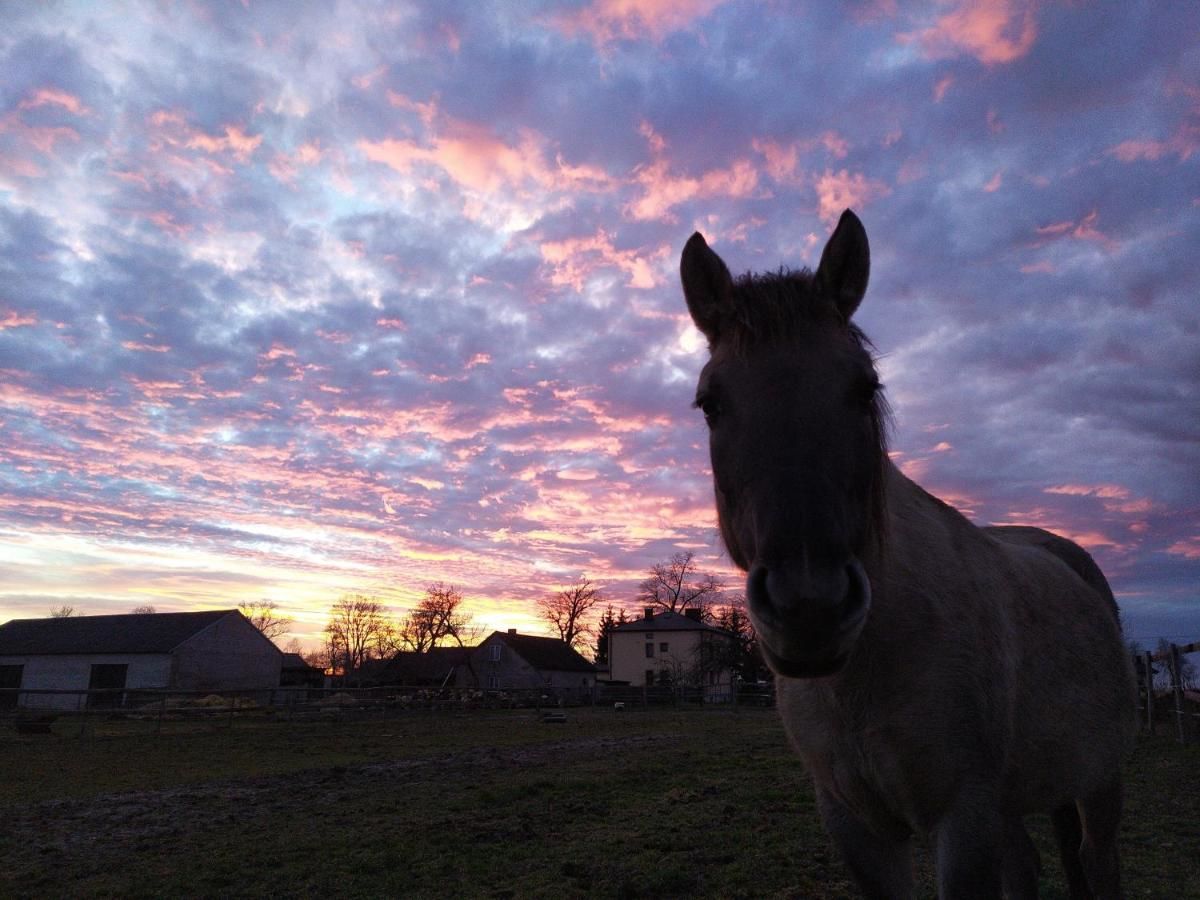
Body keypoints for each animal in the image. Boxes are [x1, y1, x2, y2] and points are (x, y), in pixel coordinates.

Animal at [681, 207, 1137, 897]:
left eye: (864, 388)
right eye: (710, 403)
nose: (810, 609)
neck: (864, 670)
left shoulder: (964, 814)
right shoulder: (856, 824)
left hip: (1100, 782)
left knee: (1097, 860)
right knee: (1027, 866)